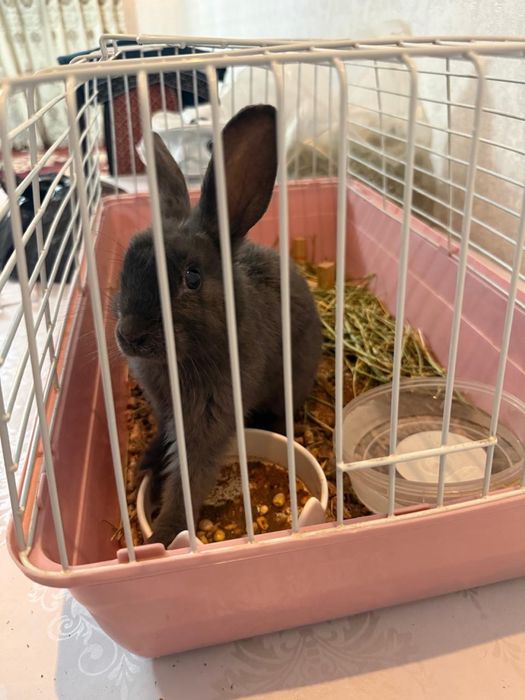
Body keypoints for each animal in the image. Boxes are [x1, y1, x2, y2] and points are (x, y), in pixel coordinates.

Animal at [114, 105, 322, 547]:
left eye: (192, 278)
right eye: (127, 263)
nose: (129, 335)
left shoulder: (211, 419)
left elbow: (190, 479)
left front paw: (163, 537)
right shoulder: (165, 408)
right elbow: (165, 442)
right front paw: (145, 466)